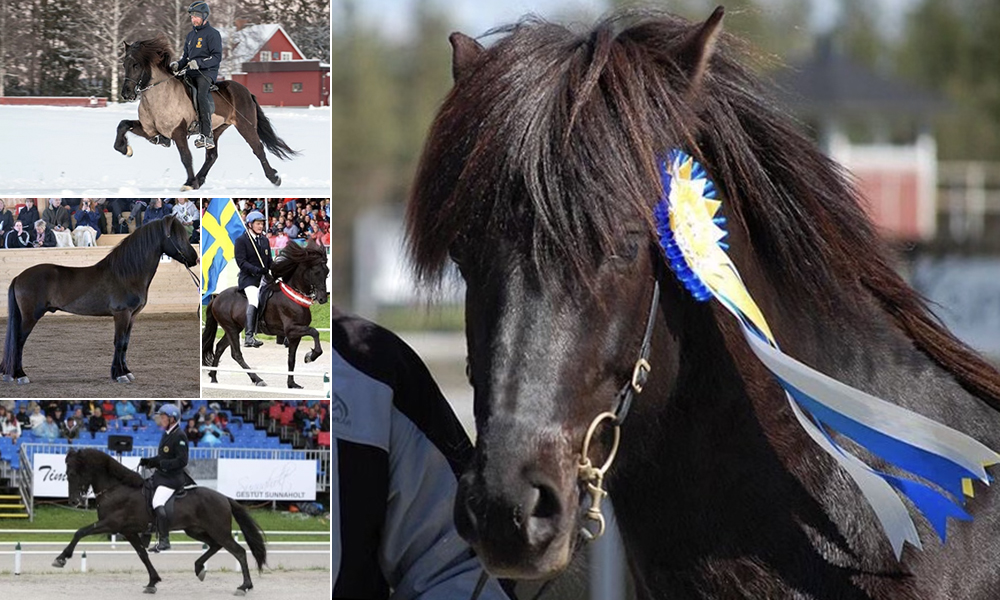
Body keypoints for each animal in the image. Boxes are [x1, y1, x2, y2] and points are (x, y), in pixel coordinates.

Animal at [0, 216, 199, 384]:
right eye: (177, 237)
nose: (195, 259)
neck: (126, 274)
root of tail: (19, 277)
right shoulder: (122, 314)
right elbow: (119, 343)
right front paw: (120, 375)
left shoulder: (132, 316)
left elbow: (125, 344)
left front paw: (126, 372)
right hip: (30, 317)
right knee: (18, 342)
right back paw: (20, 375)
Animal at [116, 37, 294, 191]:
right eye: (124, 64)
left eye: (136, 65)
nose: (126, 94)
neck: (159, 95)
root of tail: (246, 92)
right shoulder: (150, 131)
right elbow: (123, 125)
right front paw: (126, 149)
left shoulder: (178, 131)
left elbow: (186, 157)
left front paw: (188, 183)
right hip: (215, 129)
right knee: (212, 156)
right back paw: (199, 180)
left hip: (245, 125)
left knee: (258, 149)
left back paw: (274, 178)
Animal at [202, 241, 328, 386]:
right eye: (316, 272)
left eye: (327, 273)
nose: (323, 299)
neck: (294, 296)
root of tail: (216, 298)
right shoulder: (292, 329)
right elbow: (315, 332)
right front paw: (310, 356)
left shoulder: (294, 335)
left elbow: (291, 358)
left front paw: (291, 384)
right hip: (230, 328)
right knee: (236, 354)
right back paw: (258, 379)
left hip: (234, 328)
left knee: (219, 348)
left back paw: (214, 378)